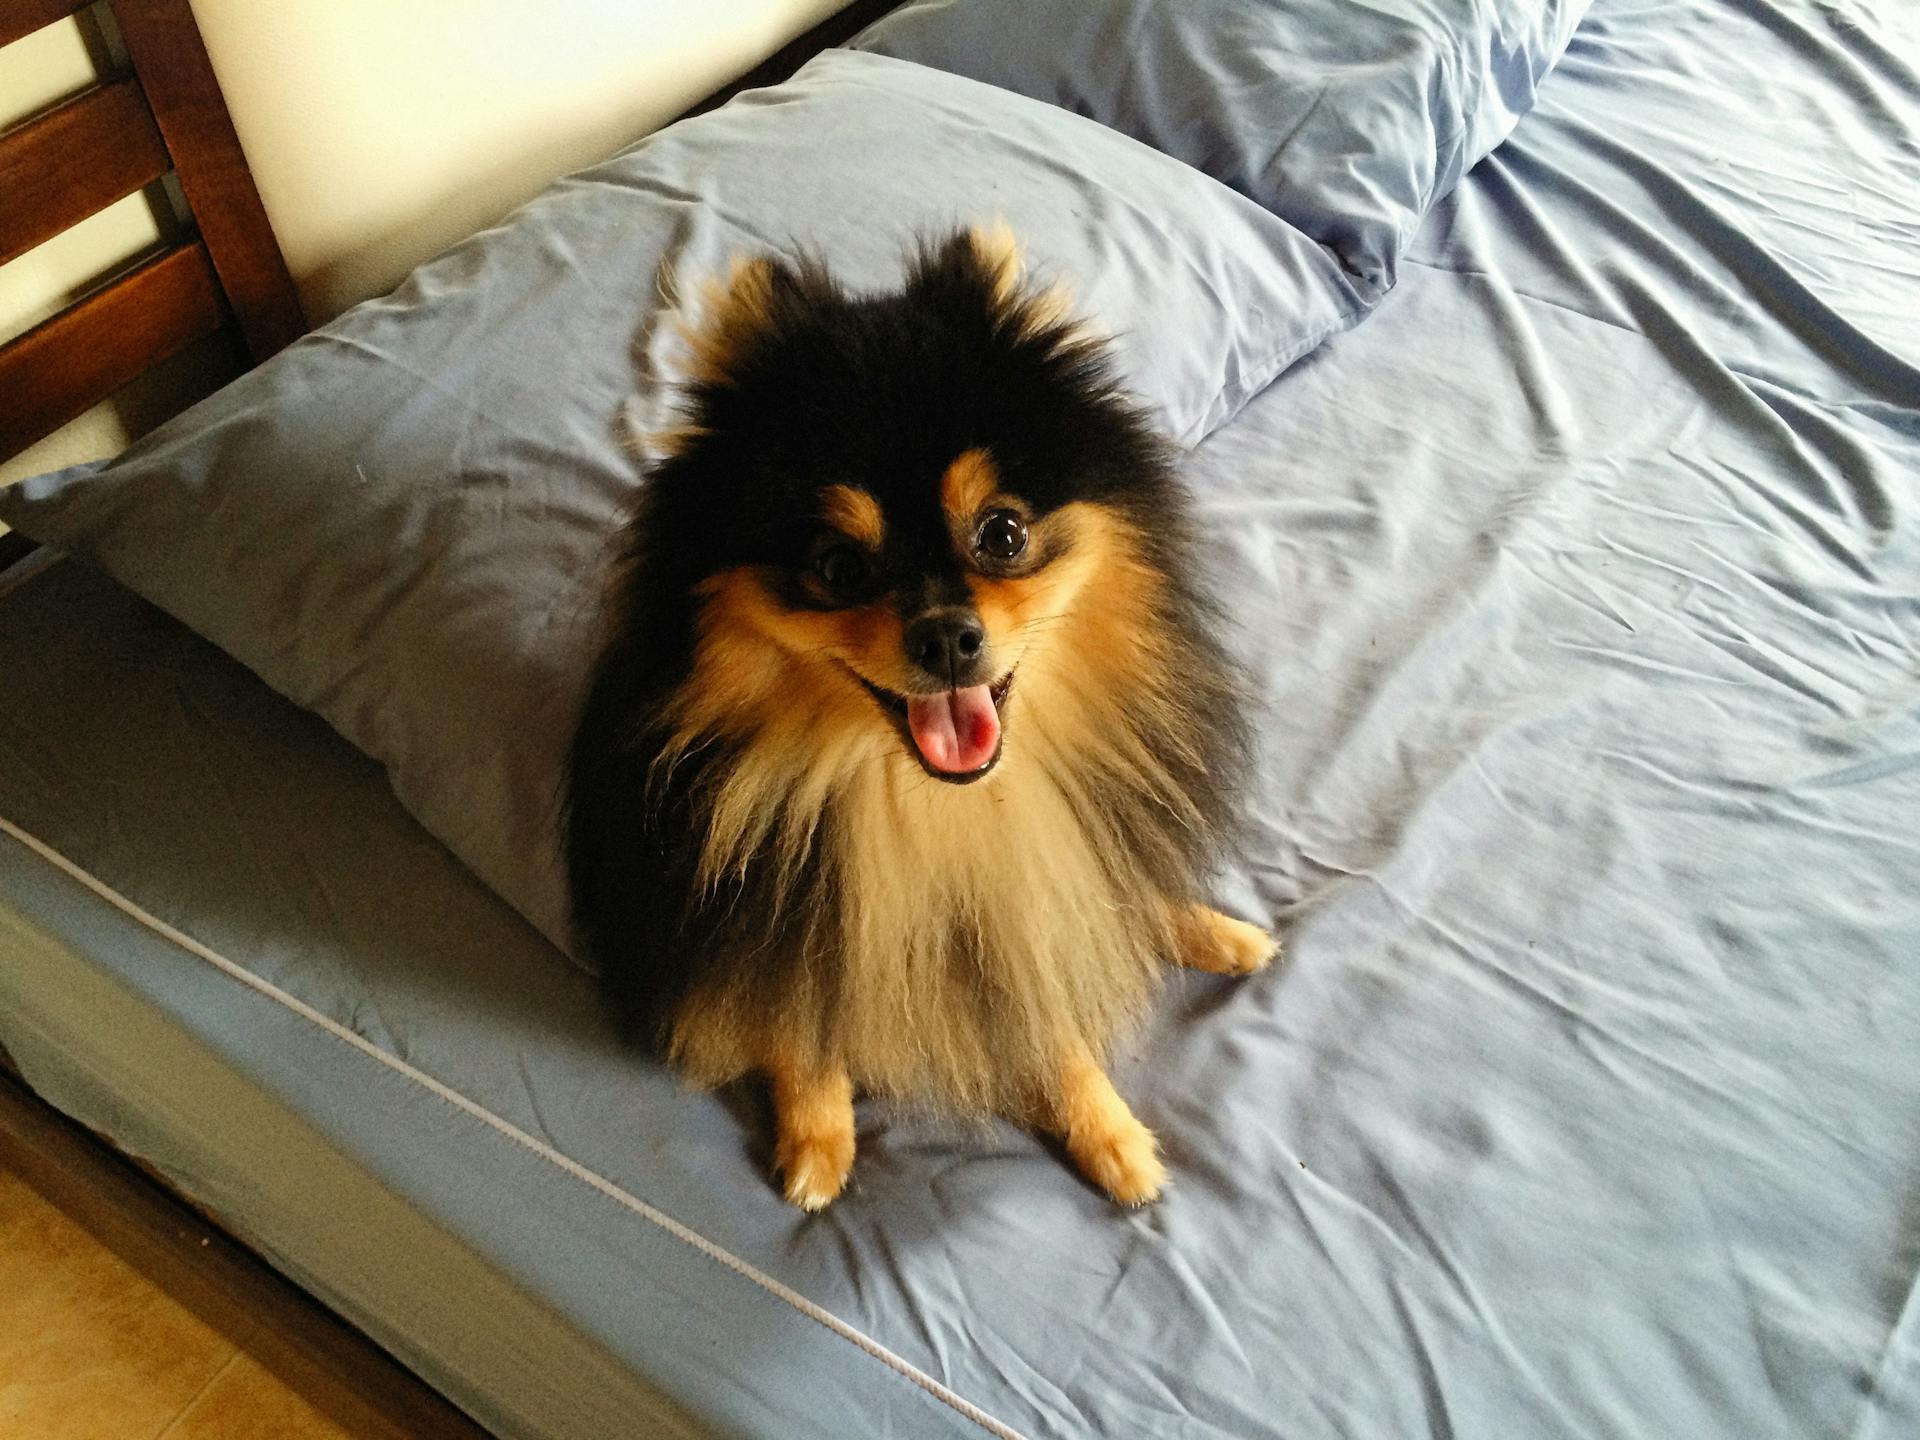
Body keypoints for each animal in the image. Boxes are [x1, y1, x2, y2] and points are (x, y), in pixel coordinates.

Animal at [560, 225, 1267, 1213]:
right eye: (838, 567)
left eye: (1002, 534)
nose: (946, 637)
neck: (929, 800)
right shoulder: (768, 909)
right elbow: (797, 1019)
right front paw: (817, 1139)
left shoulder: (1030, 895)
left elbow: (1055, 1008)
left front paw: (1108, 1132)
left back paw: (1219, 931)